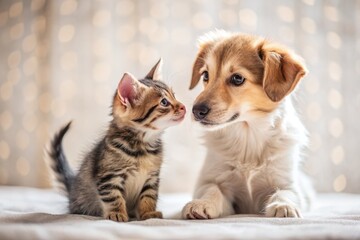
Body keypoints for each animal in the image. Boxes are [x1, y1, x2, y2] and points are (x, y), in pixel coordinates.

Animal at [47, 59, 186, 221]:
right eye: (164, 102)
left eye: (174, 95)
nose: (183, 107)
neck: (142, 146)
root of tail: (72, 190)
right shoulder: (109, 177)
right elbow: (114, 197)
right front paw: (116, 213)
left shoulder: (152, 178)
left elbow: (148, 197)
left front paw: (148, 213)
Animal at [181, 30, 314, 219]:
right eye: (206, 75)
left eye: (237, 78)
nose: (196, 111)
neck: (248, 135)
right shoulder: (212, 181)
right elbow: (213, 190)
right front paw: (201, 204)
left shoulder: (287, 182)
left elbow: (285, 193)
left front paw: (283, 205)